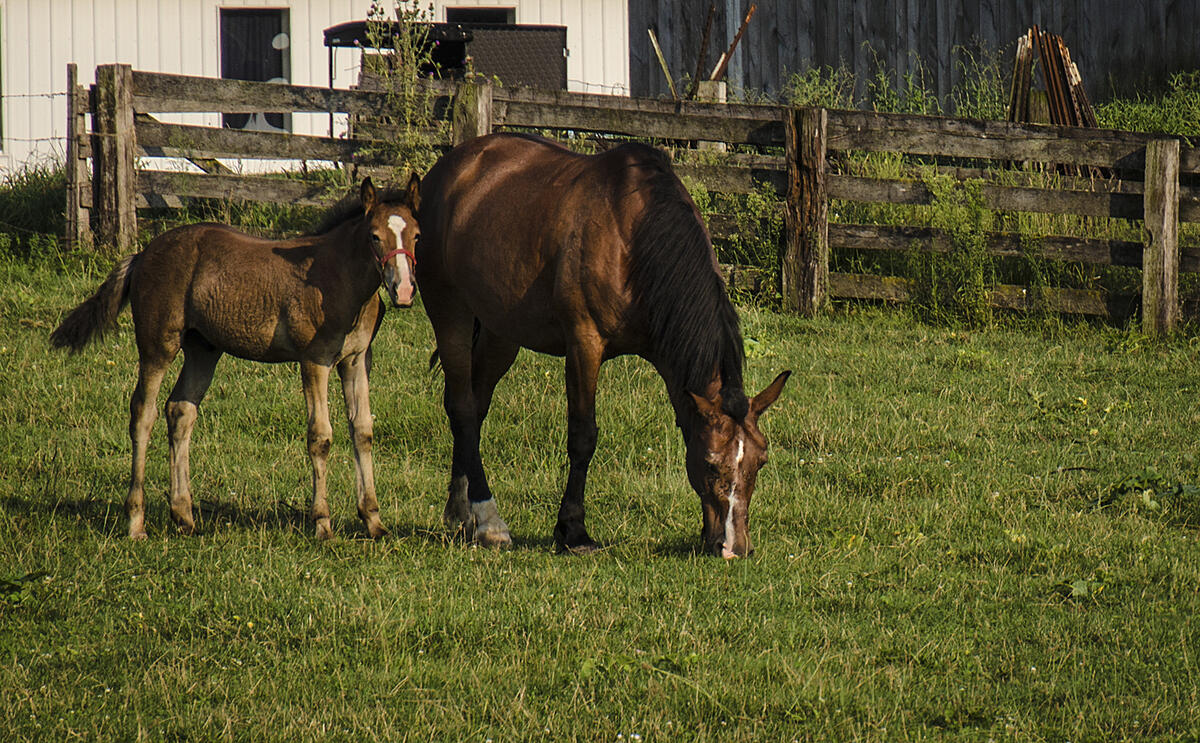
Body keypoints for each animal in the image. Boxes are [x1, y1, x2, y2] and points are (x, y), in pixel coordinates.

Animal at [50, 176, 421, 541]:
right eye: (374, 236)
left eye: (416, 235)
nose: (403, 290)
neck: (337, 279)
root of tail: (142, 254)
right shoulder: (314, 360)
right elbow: (320, 436)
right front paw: (322, 523)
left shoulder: (355, 360)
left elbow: (363, 430)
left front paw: (373, 520)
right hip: (158, 345)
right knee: (143, 412)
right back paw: (136, 521)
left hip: (203, 349)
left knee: (180, 410)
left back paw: (184, 516)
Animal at [417, 133, 790, 558]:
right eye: (711, 463)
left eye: (760, 461)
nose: (733, 547)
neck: (633, 236)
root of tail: (449, 169)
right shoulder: (584, 343)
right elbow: (583, 436)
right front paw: (573, 530)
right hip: (450, 311)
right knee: (462, 407)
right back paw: (489, 520)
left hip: (500, 330)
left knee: (474, 407)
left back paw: (462, 511)